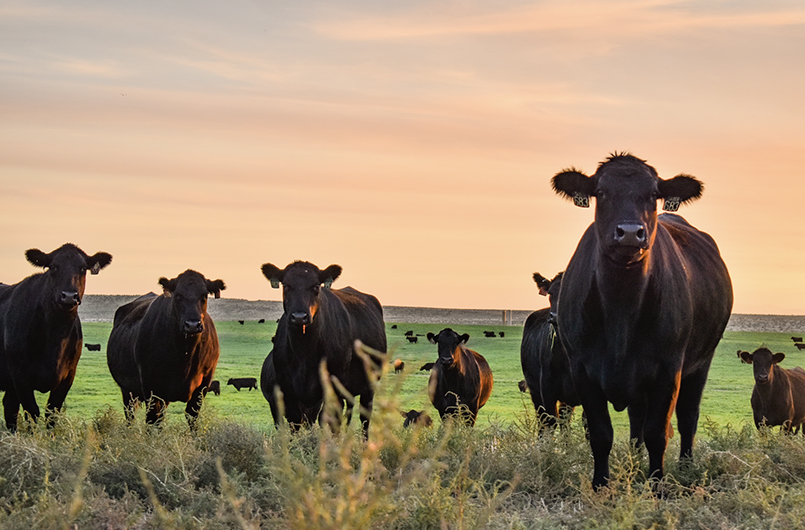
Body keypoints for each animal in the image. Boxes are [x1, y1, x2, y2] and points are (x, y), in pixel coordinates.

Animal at [0, 243, 113, 428]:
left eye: (83, 268)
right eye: (53, 267)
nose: (69, 296)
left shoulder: (68, 376)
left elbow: (52, 413)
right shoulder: (20, 376)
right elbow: (32, 413)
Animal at [104, 268, 223, 424]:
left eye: (204, 295)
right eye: (178, 295)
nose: (192, 325)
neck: (185, 354)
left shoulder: (203, 385)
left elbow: (192, 416)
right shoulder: (151, 387)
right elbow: (153, 421)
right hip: (128, 391)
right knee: (131, 416)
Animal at [260, 258, 386, 436]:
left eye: (315, 286)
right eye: (286, 286)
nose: (299, 317)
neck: (303, 352)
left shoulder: (332, 388)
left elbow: (331, 422)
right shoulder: (287, 390)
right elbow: (294, 424)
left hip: (369, 385)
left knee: (364, 419)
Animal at [548, 152, 732, 486]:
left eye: (653, 194)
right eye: (602, 192)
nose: (631, 232)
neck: (621, 309)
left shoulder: (668, 369)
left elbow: (657, 433)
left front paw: (657, 484)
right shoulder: (582, 369)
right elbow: (601, 434)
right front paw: (601, 484)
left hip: (700, 363)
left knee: (687, 418)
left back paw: (685, 467)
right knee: (636, 421)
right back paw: (633, 462)